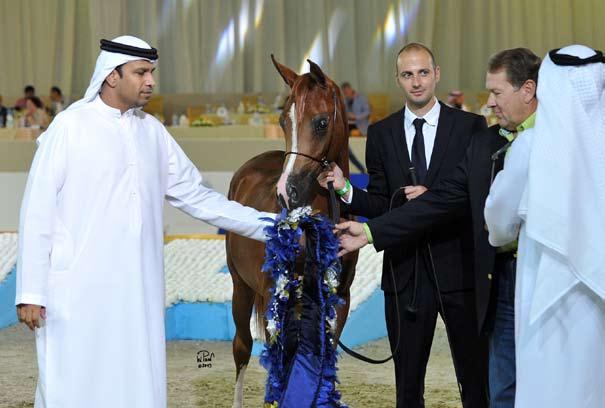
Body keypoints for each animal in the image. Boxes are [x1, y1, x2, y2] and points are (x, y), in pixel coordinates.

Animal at [226, 56, 358, 404]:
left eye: (322, 122)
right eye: (283, 122)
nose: (287, 193)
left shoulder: (339, 299)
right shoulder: (277, 293)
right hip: (241, 287)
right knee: (242, 347)